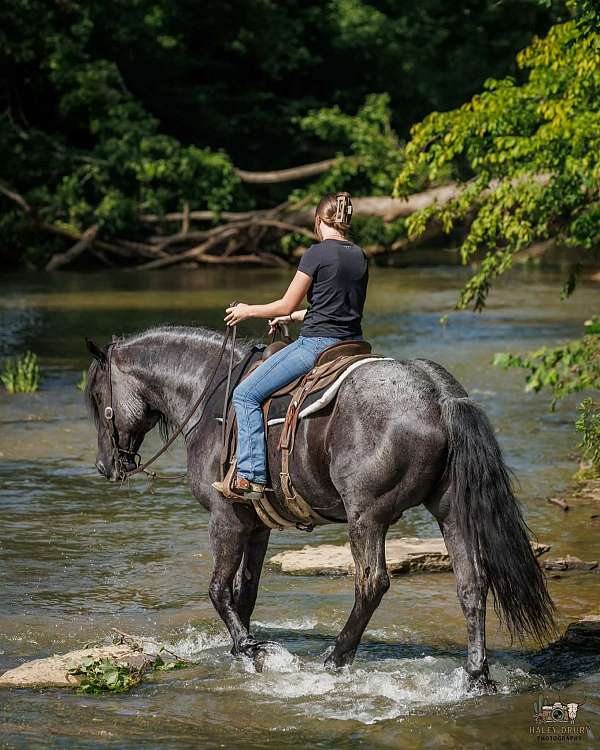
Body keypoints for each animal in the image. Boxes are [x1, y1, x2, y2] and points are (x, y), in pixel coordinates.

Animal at [84, 325, 555, 691]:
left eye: (94, 397)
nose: (105, 466)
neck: (210, 398)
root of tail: (438, 395)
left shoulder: (226, 519)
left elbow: (218, 589)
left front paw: (250, 650)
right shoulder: (257, 526)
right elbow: (245, 592)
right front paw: (243, 648)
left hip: (366, 516)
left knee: (372, 584)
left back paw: (336, 658)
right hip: (450, 510)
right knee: (471, 584)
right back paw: (476, 676)